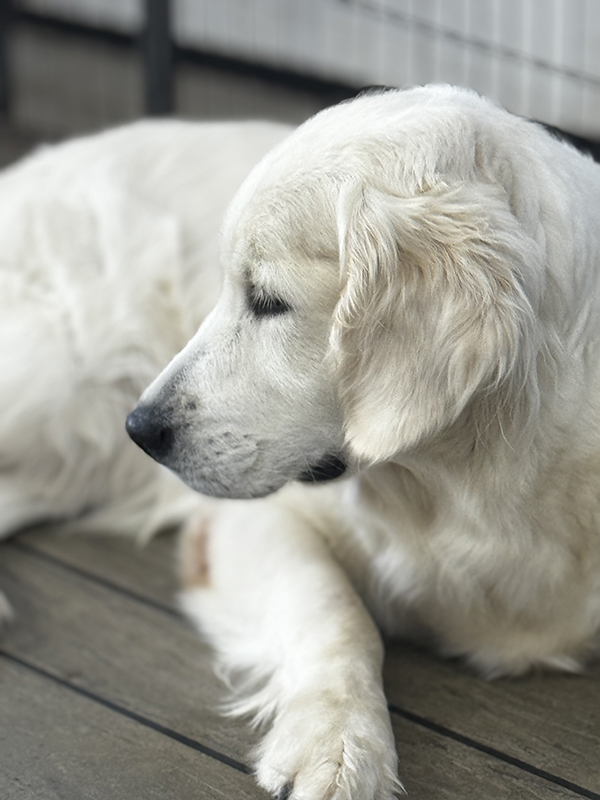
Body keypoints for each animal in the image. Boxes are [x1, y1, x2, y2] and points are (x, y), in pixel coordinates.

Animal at [126, 84, 600, 796]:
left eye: (268, 300)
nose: (139, 428)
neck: (471, 480)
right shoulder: (254, 521)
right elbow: (335, 611)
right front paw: (337, 744)